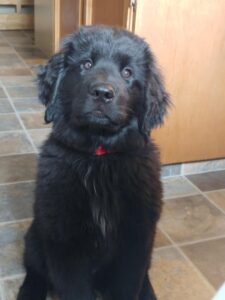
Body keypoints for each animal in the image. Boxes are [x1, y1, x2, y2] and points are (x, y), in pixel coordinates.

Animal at [17, 25, 169, 300]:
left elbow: (128, 285)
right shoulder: (64, 242)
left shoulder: (136, 241)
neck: (100, 158)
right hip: (36, 234)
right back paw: (29, 292)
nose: (102, 93)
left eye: (127, 72)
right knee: (34, 269)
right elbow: (74, 289)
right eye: (86, 64)